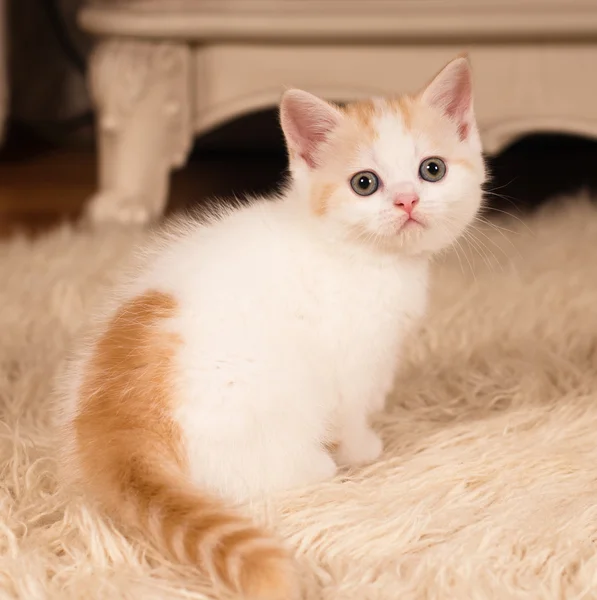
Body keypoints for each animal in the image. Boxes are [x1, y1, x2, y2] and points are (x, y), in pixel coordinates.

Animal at [56, 56, 484, 600]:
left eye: (433, 170)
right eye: (364, 183)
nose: (407, 201)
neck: (362, 256)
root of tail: (116, 428)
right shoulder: (353, 359)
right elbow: (352, 411)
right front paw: (363, 448)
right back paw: (317, 466)